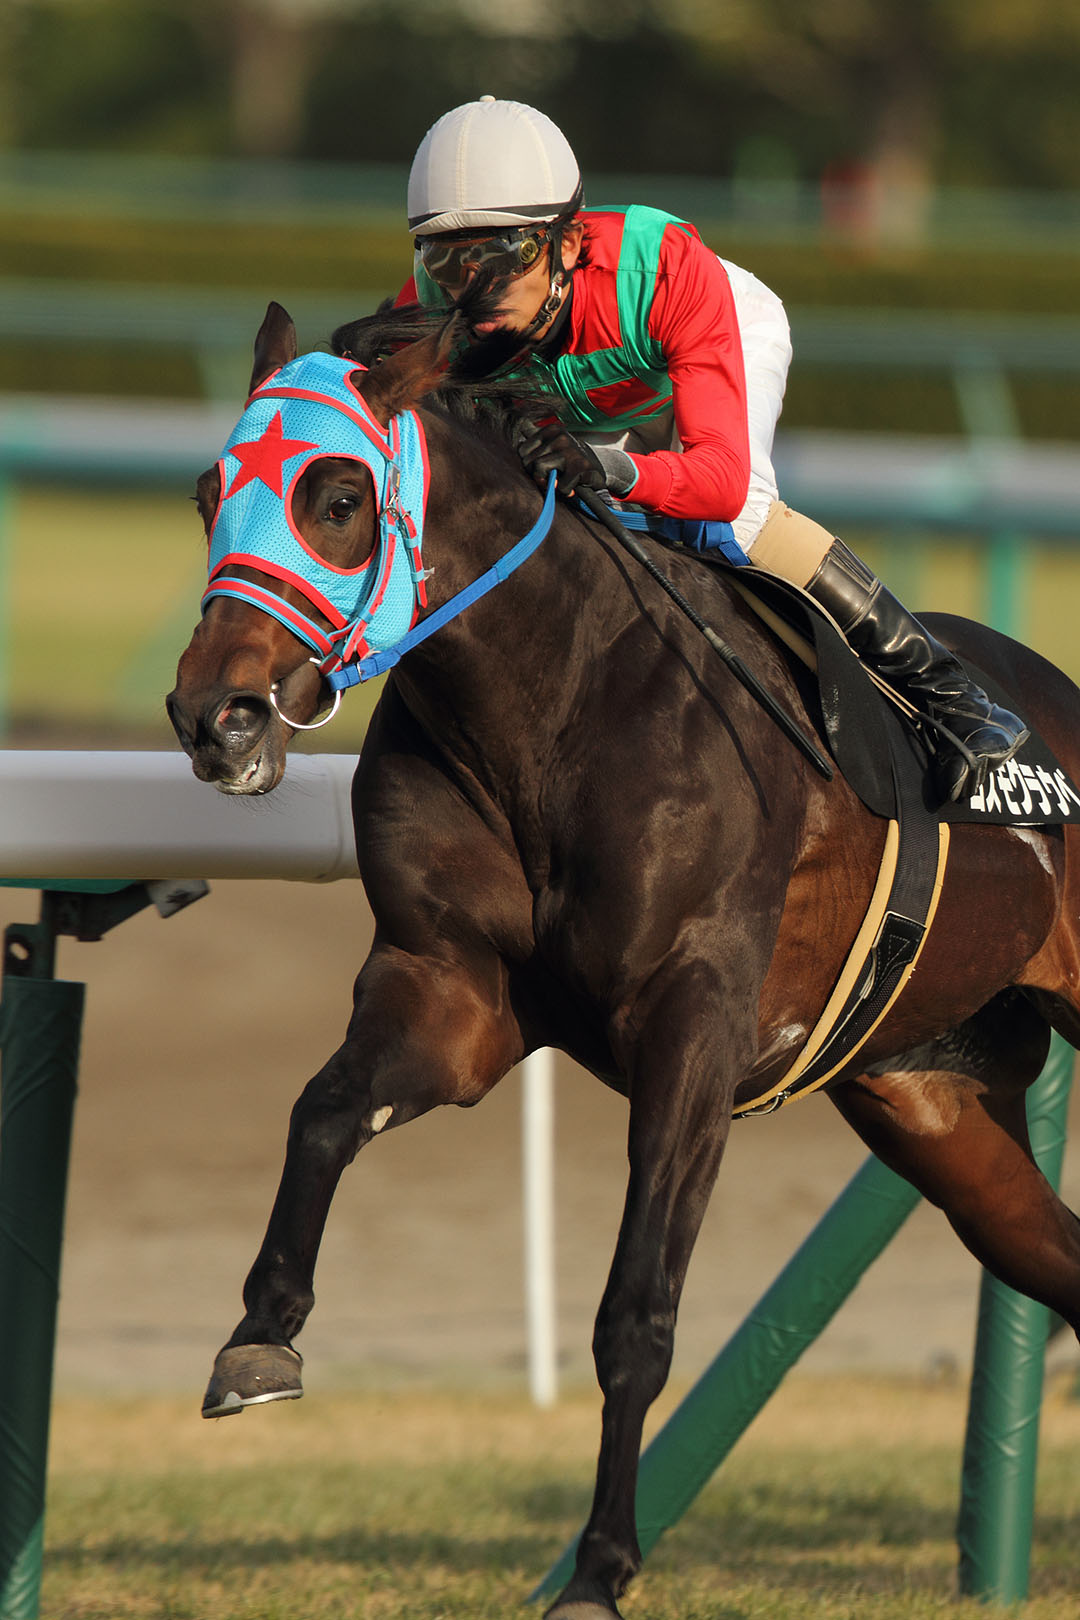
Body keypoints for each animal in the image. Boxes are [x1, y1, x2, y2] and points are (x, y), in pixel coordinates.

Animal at [167, 299, 1080, 1618]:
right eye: (205, 493)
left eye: (336, 495)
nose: (213, 717)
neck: (552, 708)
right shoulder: (450, 991)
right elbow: (324, 1113)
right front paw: (259, 1337)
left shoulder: (693, 1027)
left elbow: (635, 1314)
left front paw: (598, 1571)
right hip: (935, 1108)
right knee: (1054, 1255)